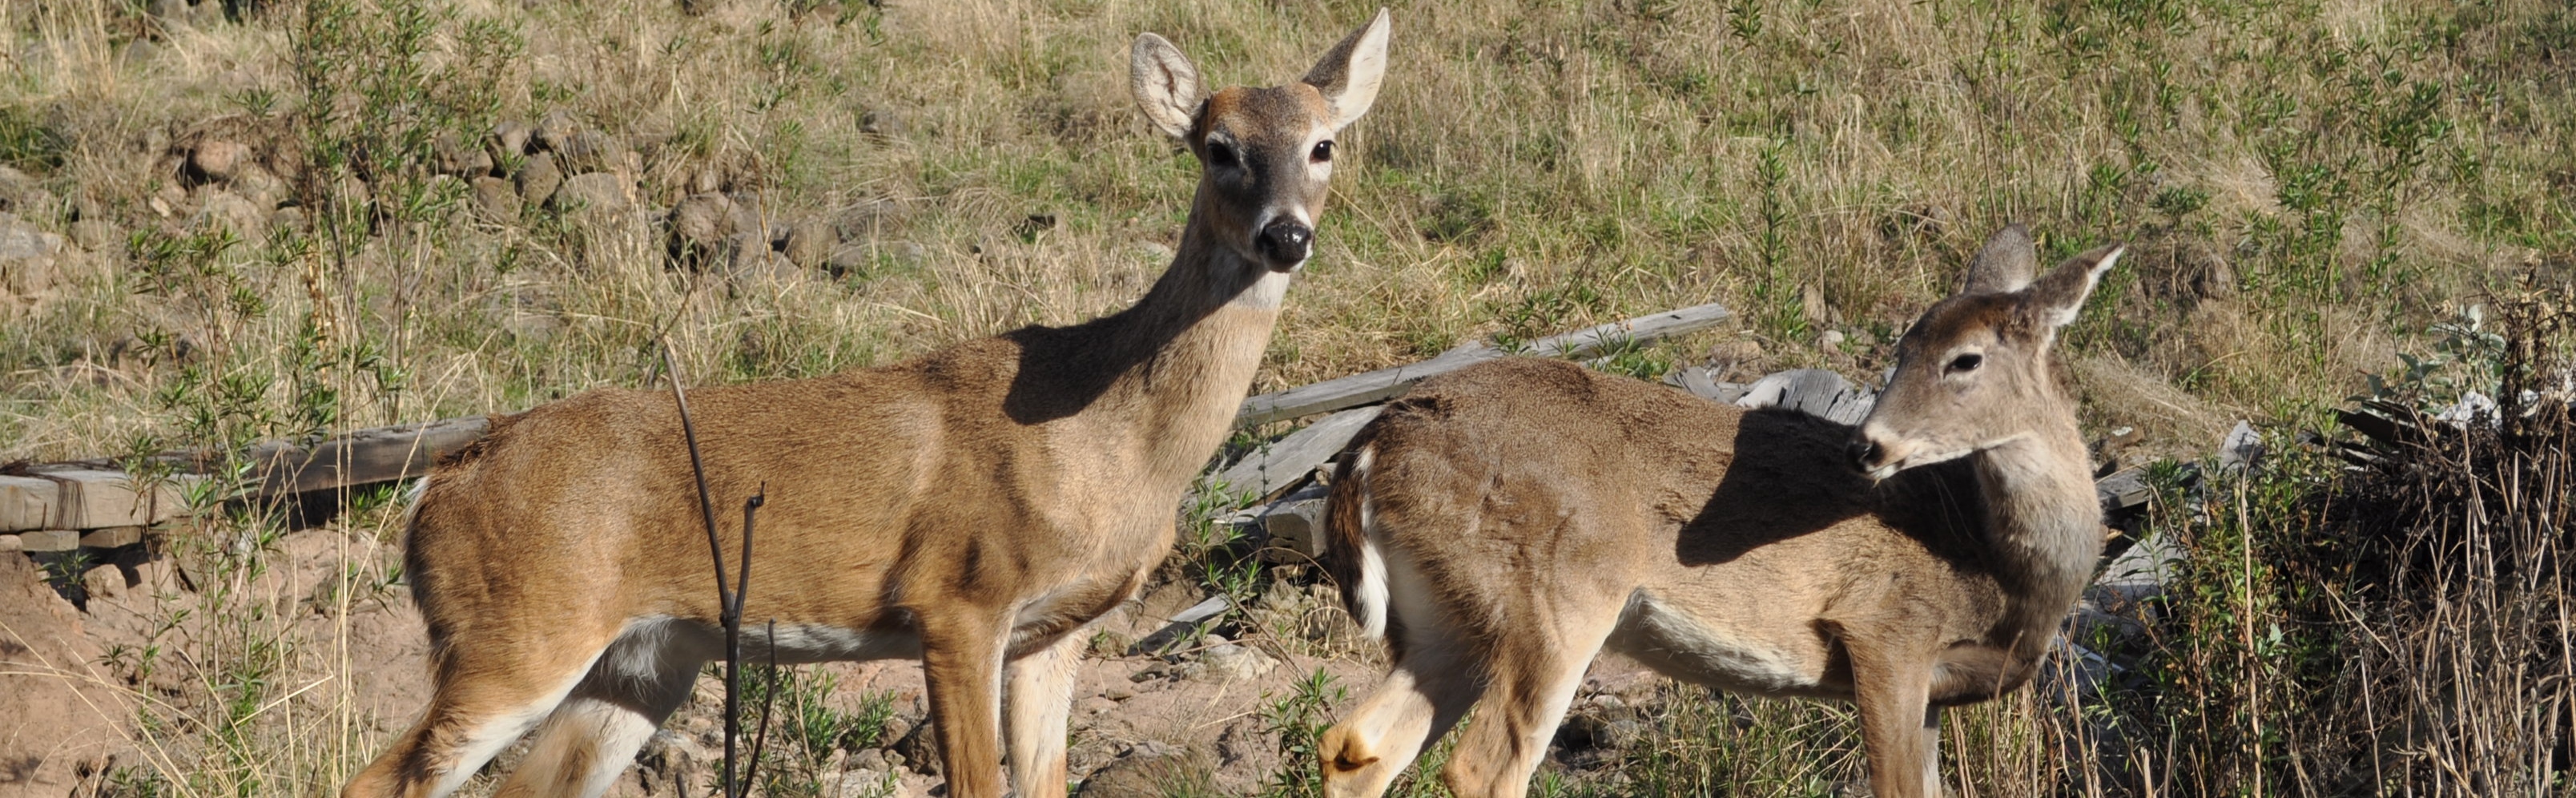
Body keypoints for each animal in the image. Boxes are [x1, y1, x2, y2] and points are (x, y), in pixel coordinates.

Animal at [348, 10, 1391, 798]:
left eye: (1323, 145)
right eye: (1218, 149)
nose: (1286, 235)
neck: (1107, 440)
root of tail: (438, 488)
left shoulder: (1058, 633)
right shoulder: (959, 597)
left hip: (640, 663)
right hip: (514, 635)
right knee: (378, 780)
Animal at [1318, 222, 2122, 798]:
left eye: (1965, 358)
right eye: (1902, 347)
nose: (1866, 446)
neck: (1993, 560)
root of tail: (1371, 446)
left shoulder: (1931, 688)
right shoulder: (1885, 632)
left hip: (1446, 619)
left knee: (1354, 744)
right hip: (1551, 597)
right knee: (1481, 769)